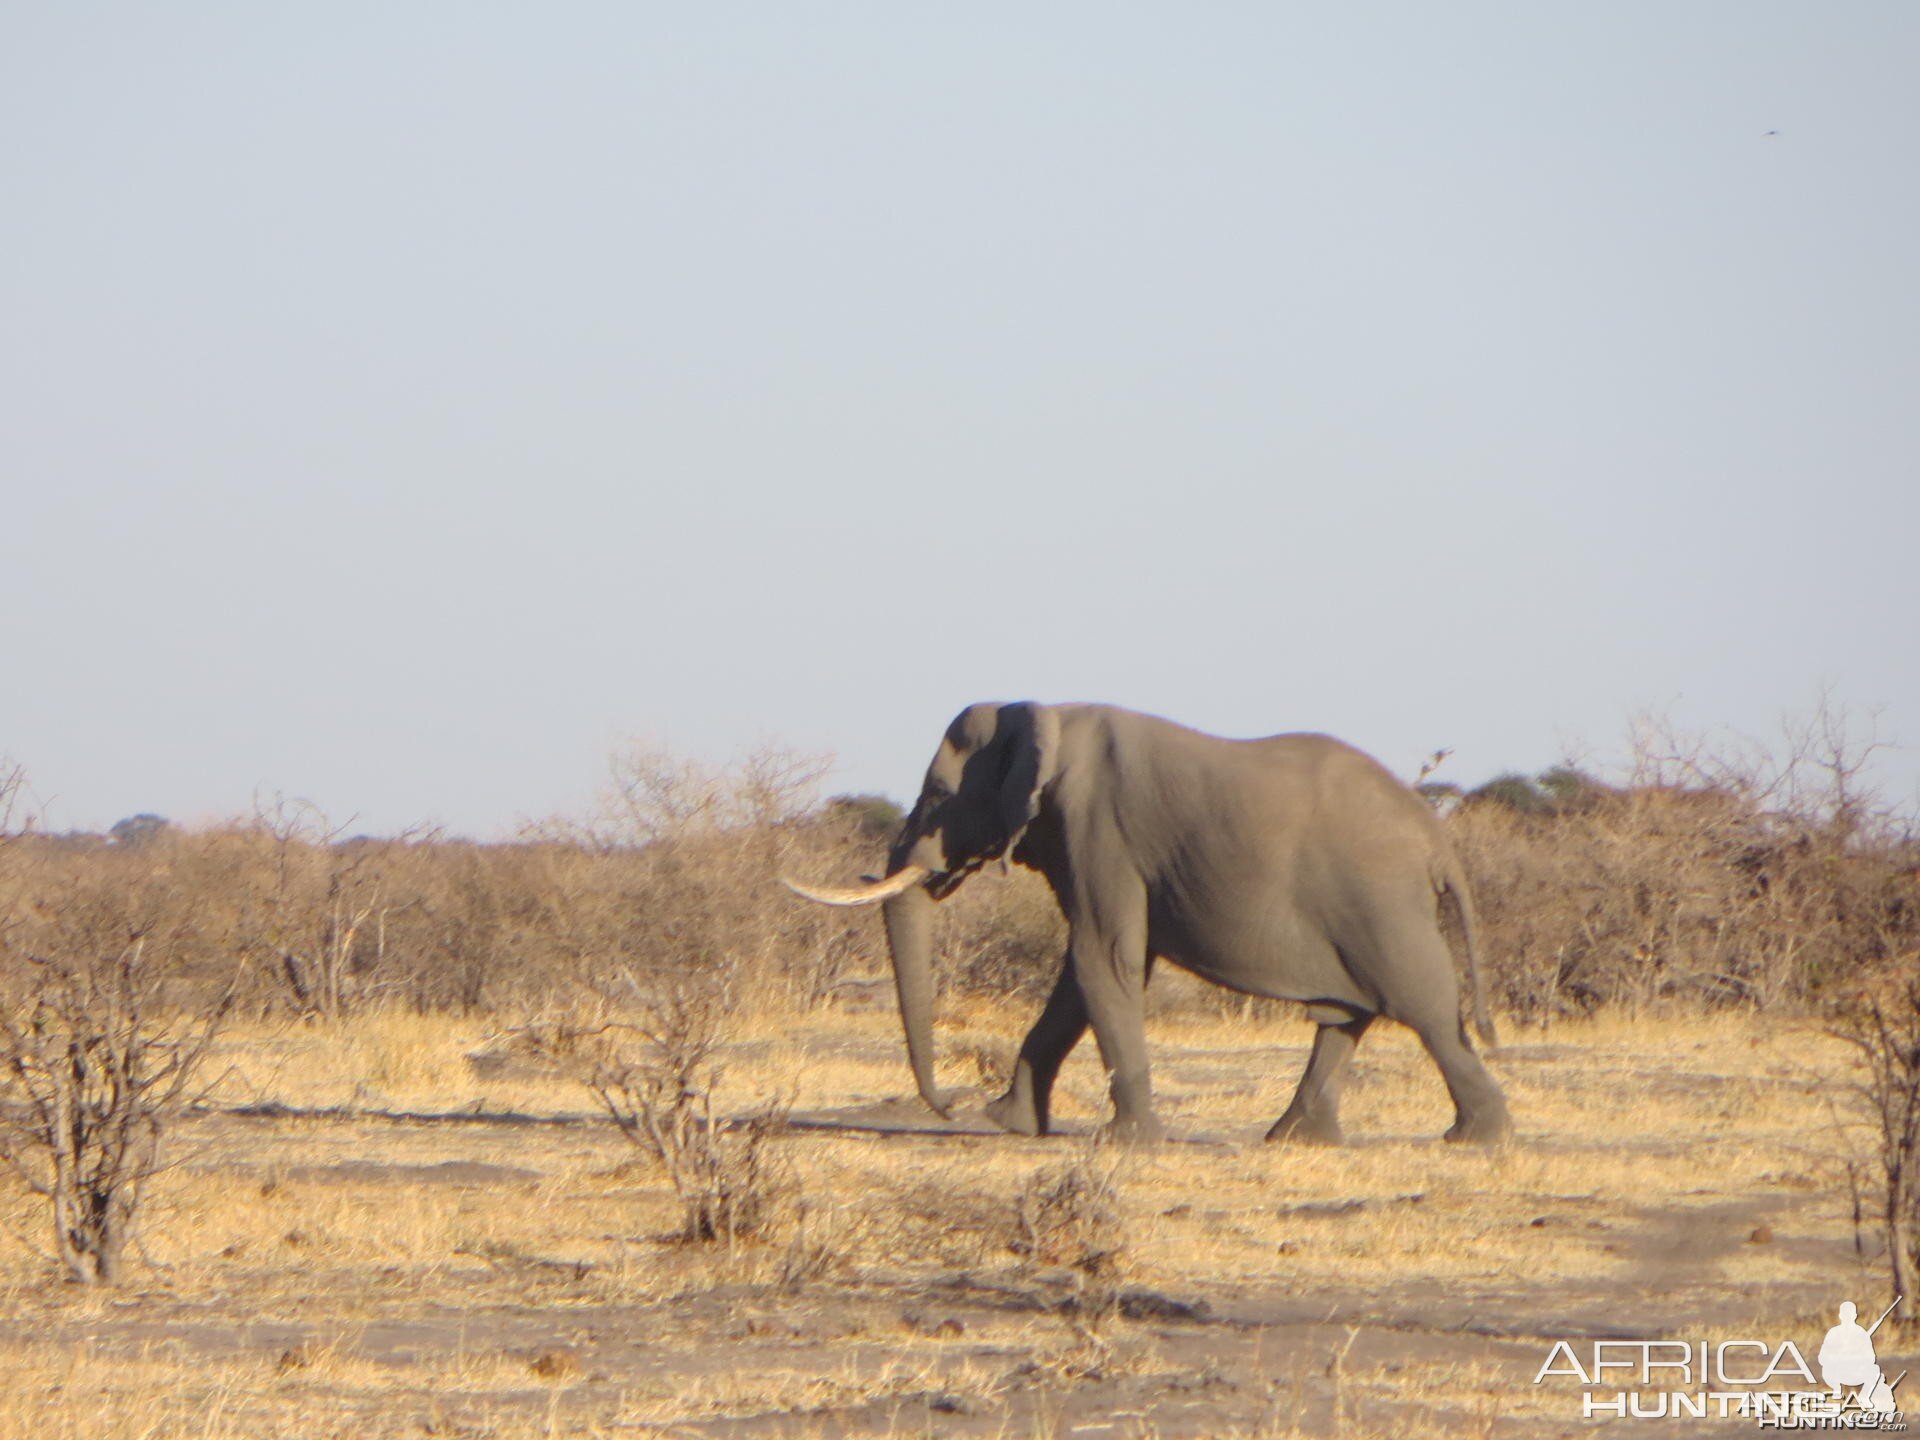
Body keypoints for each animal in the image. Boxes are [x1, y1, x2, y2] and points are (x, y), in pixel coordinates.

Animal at [787, 702, 1505, 1152]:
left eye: (938, 796)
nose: (950, 1106)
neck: (1047, 712)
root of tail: (1436, 839)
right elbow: (1082, 976)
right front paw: (1010, 1122)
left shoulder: (1096, 825)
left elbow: (1102, 957)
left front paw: (1123, 1143)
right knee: (1348, 1017)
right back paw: (1298, 1140)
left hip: (1379, 903)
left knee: (1425, 1008)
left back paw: (1476, 1138)